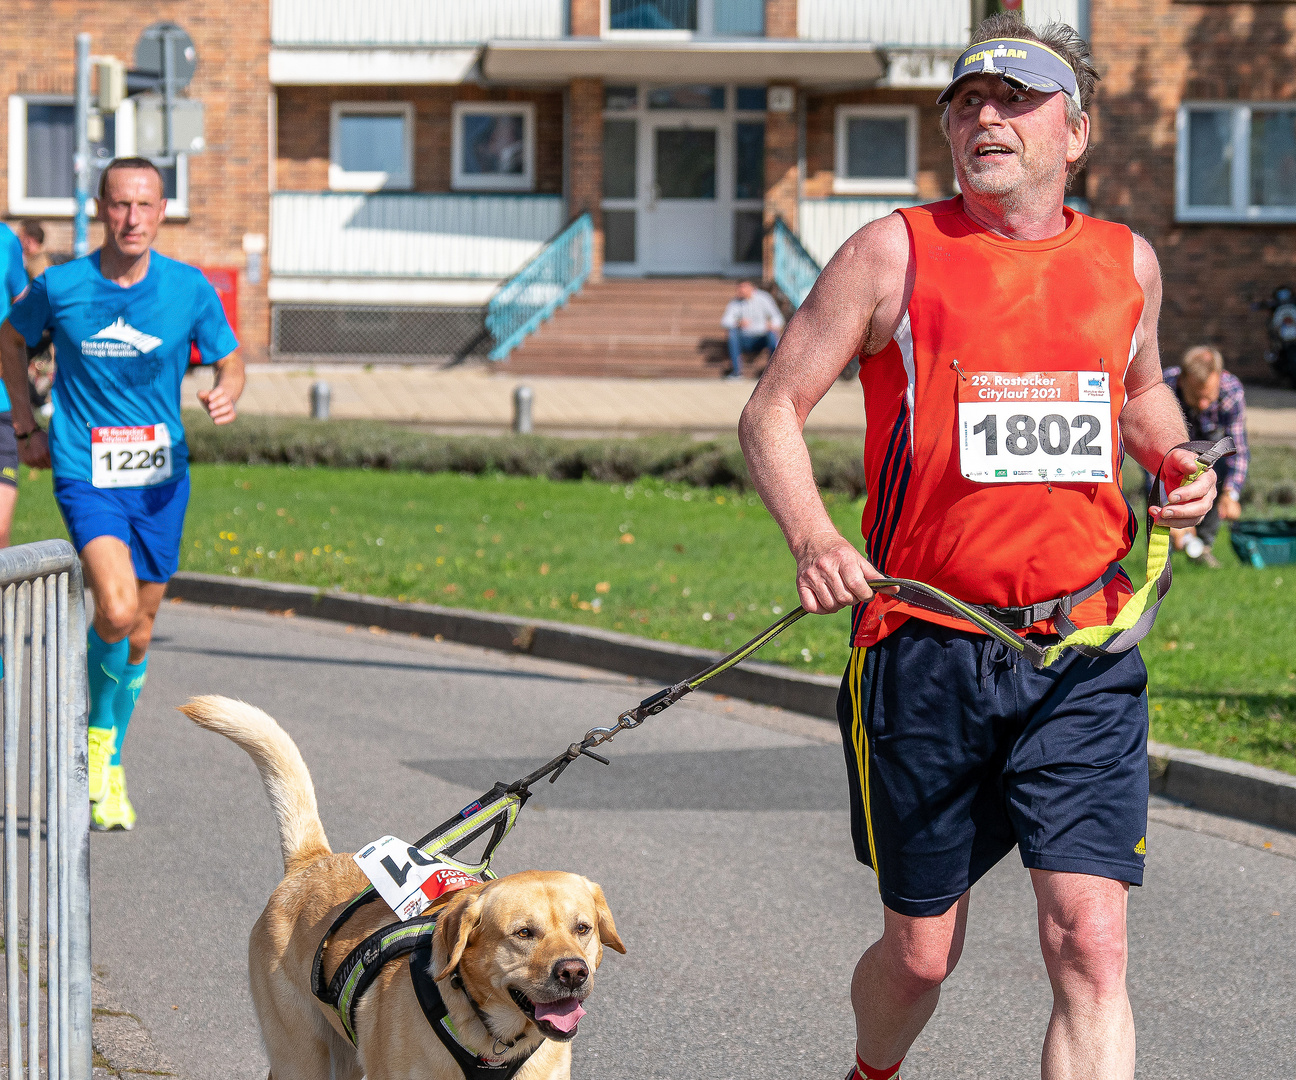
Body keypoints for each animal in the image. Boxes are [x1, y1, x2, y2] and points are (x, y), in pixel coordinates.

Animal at [180, 694, 624, 1073]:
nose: (573, 973)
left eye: (582, 929)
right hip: (303, 1056)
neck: (490, 1042)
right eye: (524, 933)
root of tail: (312, 861)